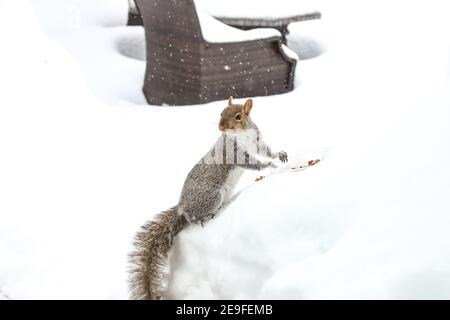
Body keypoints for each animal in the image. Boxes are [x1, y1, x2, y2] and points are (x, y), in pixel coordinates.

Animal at [128, 95, 286, 300]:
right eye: (220, 113)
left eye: (238, 116)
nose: (221, 127)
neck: (242, 134)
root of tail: (181, 207)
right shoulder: (233, 151)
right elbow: (250, 163)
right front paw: (266, 165)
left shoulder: (258, 142)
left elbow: (266, 150)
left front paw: (279, 155)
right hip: (212, 197)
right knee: (191, 218)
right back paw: (203, 218)